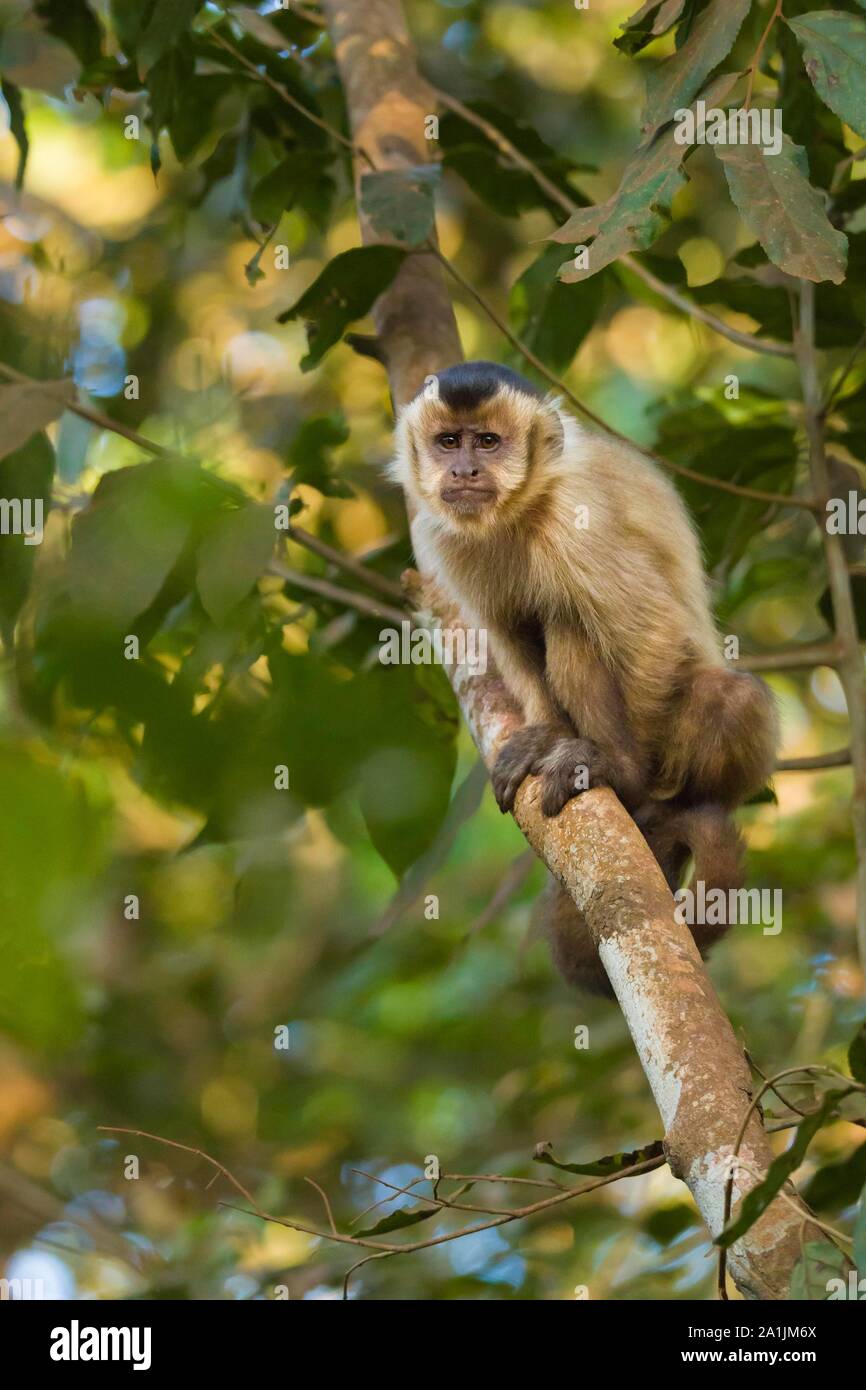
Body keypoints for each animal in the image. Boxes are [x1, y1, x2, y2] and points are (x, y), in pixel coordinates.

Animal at [389, 358, 778, 989]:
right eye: (448, 442)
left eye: (488, 442)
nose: (465, 468)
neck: (521, 509)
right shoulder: (439, 535)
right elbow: (507, 634)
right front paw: (546, 732)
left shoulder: (576, 520)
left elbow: (651, 631)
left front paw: (623, 771)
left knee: (715, 690)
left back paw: (654, 801)